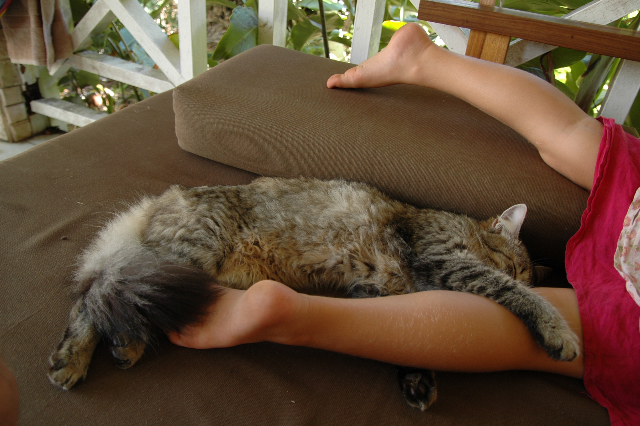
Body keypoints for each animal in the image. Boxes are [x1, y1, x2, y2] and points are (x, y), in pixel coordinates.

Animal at [47, 177, 579, 410]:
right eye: (518, 266)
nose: (523, 270)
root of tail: (158, 201)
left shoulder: (383, 291)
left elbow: (409, 342)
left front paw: (417, 380)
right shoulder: (442, 260)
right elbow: (514, 294)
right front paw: (559, 330)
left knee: (120, 297)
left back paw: (127, 342)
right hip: (186, 258)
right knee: (94, 295)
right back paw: (76, 356)